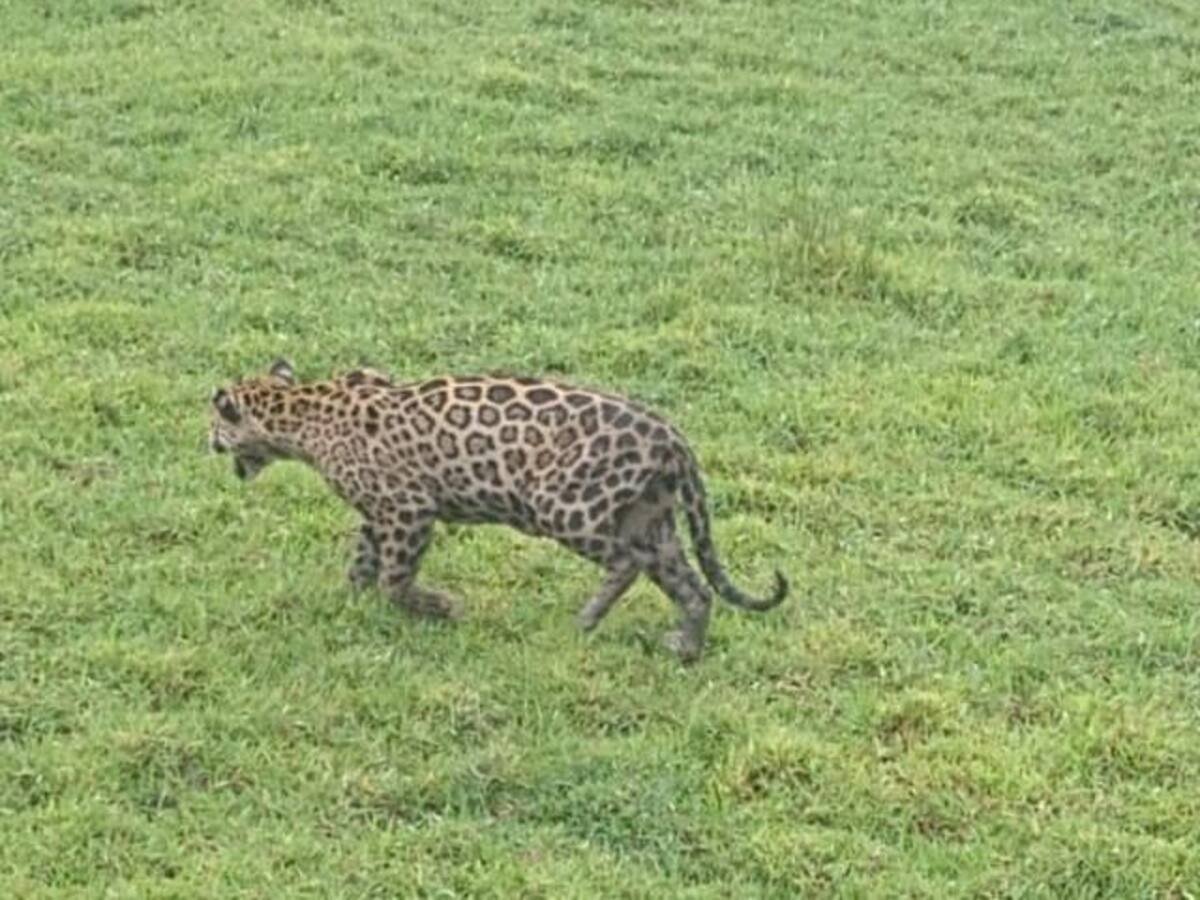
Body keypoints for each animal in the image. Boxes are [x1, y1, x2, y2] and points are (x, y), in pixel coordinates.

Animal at [208, 358, 787, 661]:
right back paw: (684, 645)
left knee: (627, 561)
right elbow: (363, 562)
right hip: (651, 515)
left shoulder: (408, 509)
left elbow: (394, 578)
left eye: (213, 423)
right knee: (688, 583)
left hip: (567, 507)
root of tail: (672, 437)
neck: (300, 411)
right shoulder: (380, 513)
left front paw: (442, 607)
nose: (203, 441)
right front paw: (348, 604)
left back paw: (585, 621)